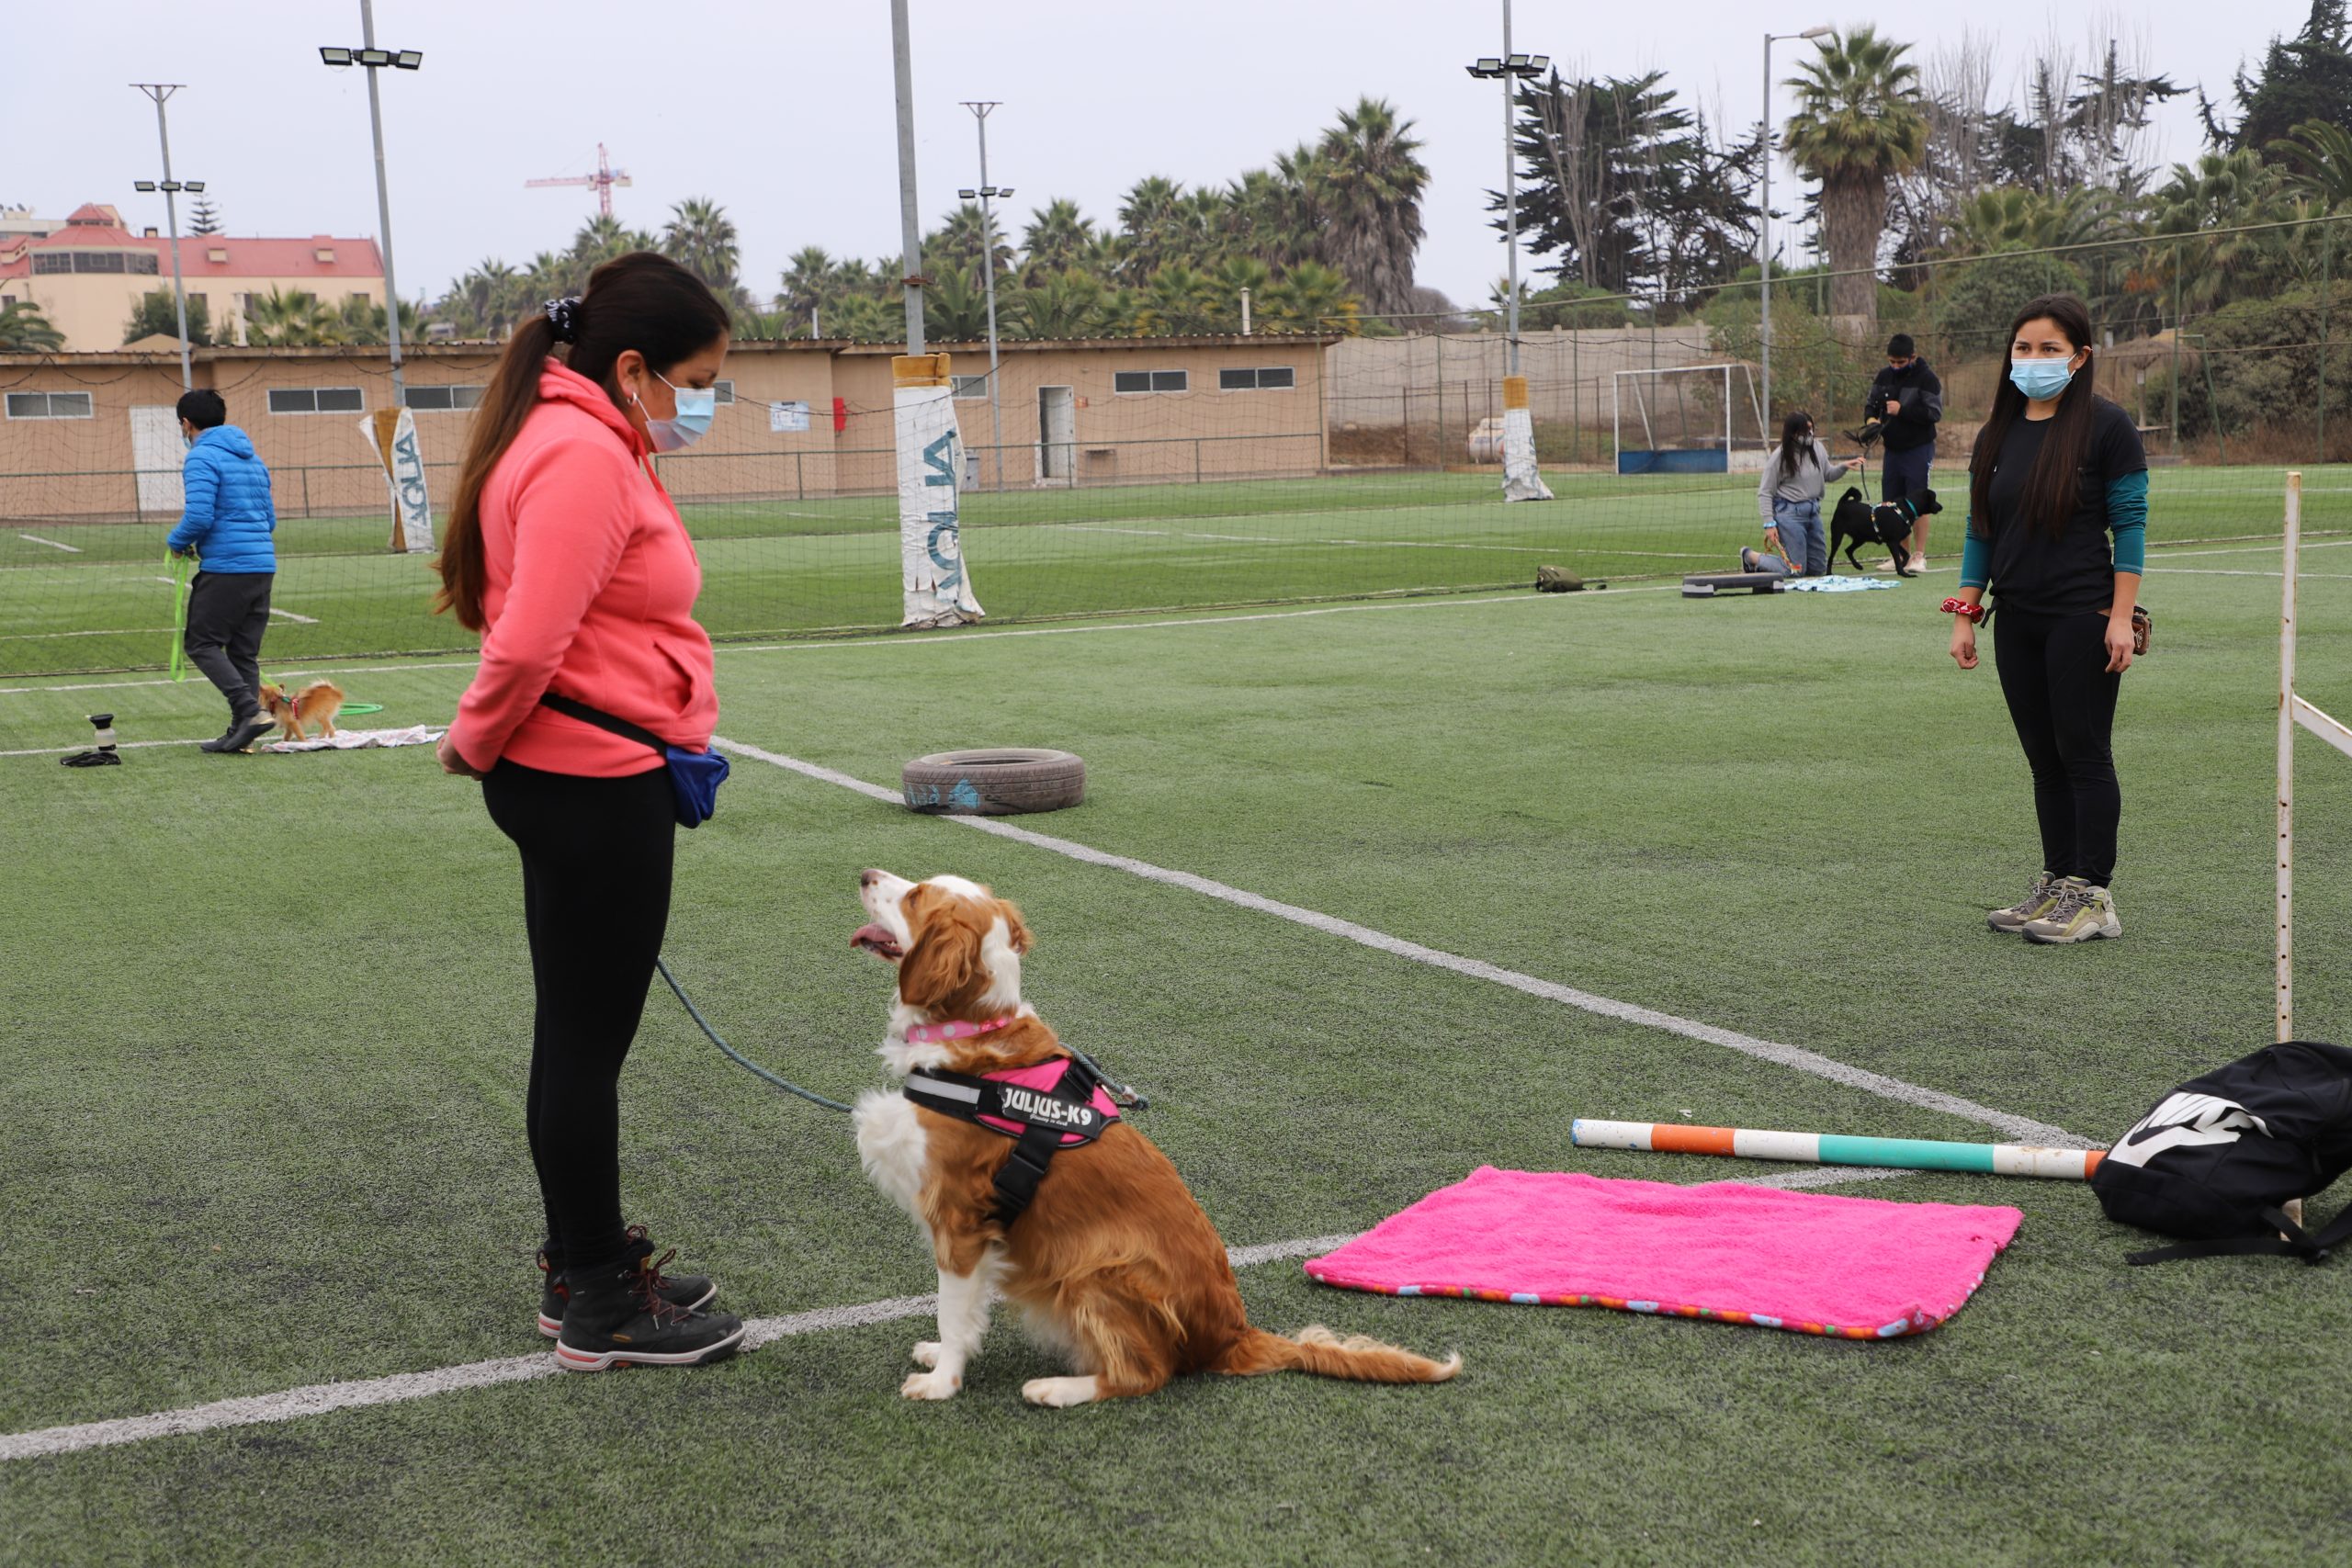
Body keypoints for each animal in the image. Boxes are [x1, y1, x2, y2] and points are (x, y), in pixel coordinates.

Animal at [855, 869, 1458, 1410]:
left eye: (914, 896)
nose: (864, 874)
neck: (975, 1035)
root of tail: (1234, 1335)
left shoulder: (960, 1219)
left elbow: (952, 1312)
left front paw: (943, 1382)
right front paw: (940, 1359)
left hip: (1100, 1269)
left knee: (1145, 1374)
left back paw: (1057, 1388)